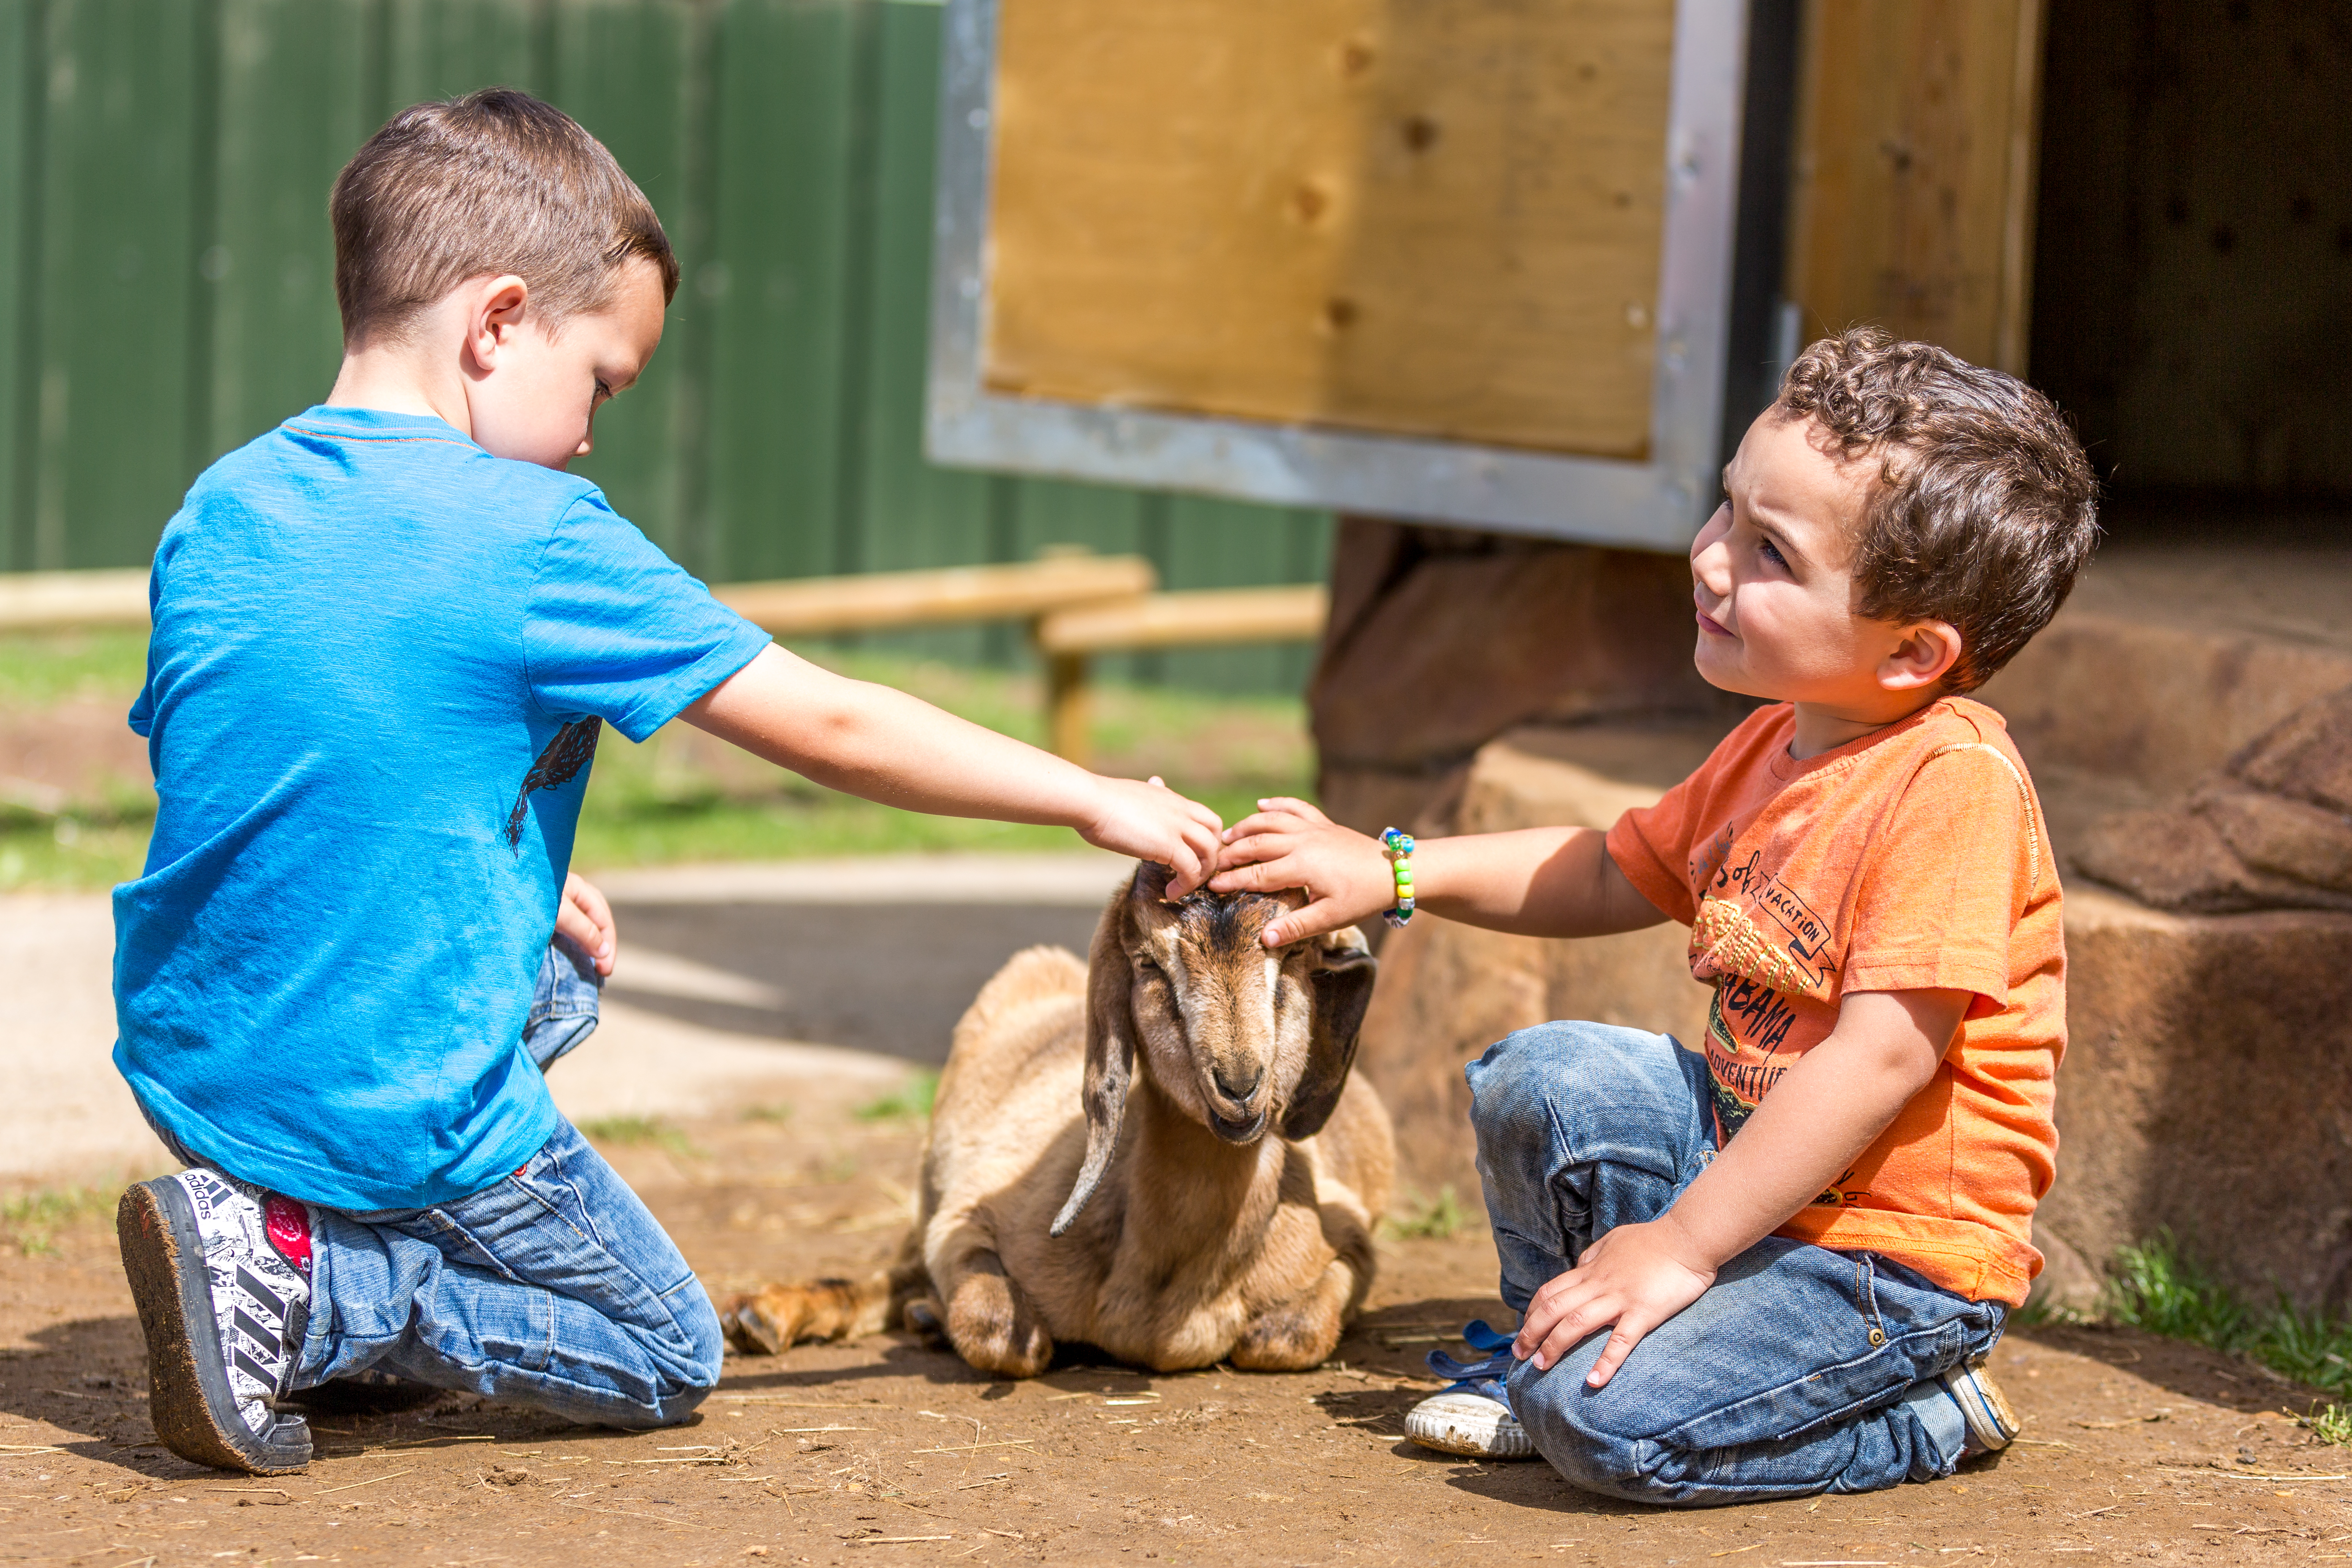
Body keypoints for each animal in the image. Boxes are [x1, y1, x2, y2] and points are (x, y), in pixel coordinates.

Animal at [724, 865, 1392, 1382]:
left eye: (1294, 957)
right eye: (1150, 963)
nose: (1239, 1085)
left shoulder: (1354, 1240)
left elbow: (1285, 1336)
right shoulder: (964, 1218)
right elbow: (998, 1331)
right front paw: (952, 1316)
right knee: (899, 1270)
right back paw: (766, 1316)